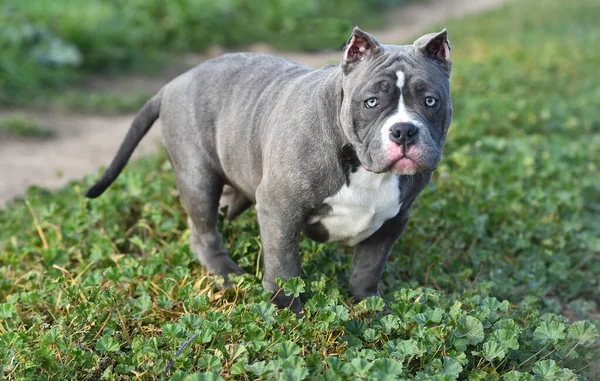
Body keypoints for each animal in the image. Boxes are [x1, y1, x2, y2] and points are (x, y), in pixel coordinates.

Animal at [86, 27, 452, 312]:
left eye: (431, 101)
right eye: (371, 102)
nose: (404, 131)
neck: (362, 165)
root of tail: (172, 84)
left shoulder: (392, 222)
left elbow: (367, 268)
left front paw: (371, 307)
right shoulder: (280, 209)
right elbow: (284, 267)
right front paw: (286, 311)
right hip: (198, 178)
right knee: (203, 231)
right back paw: (227, 274)